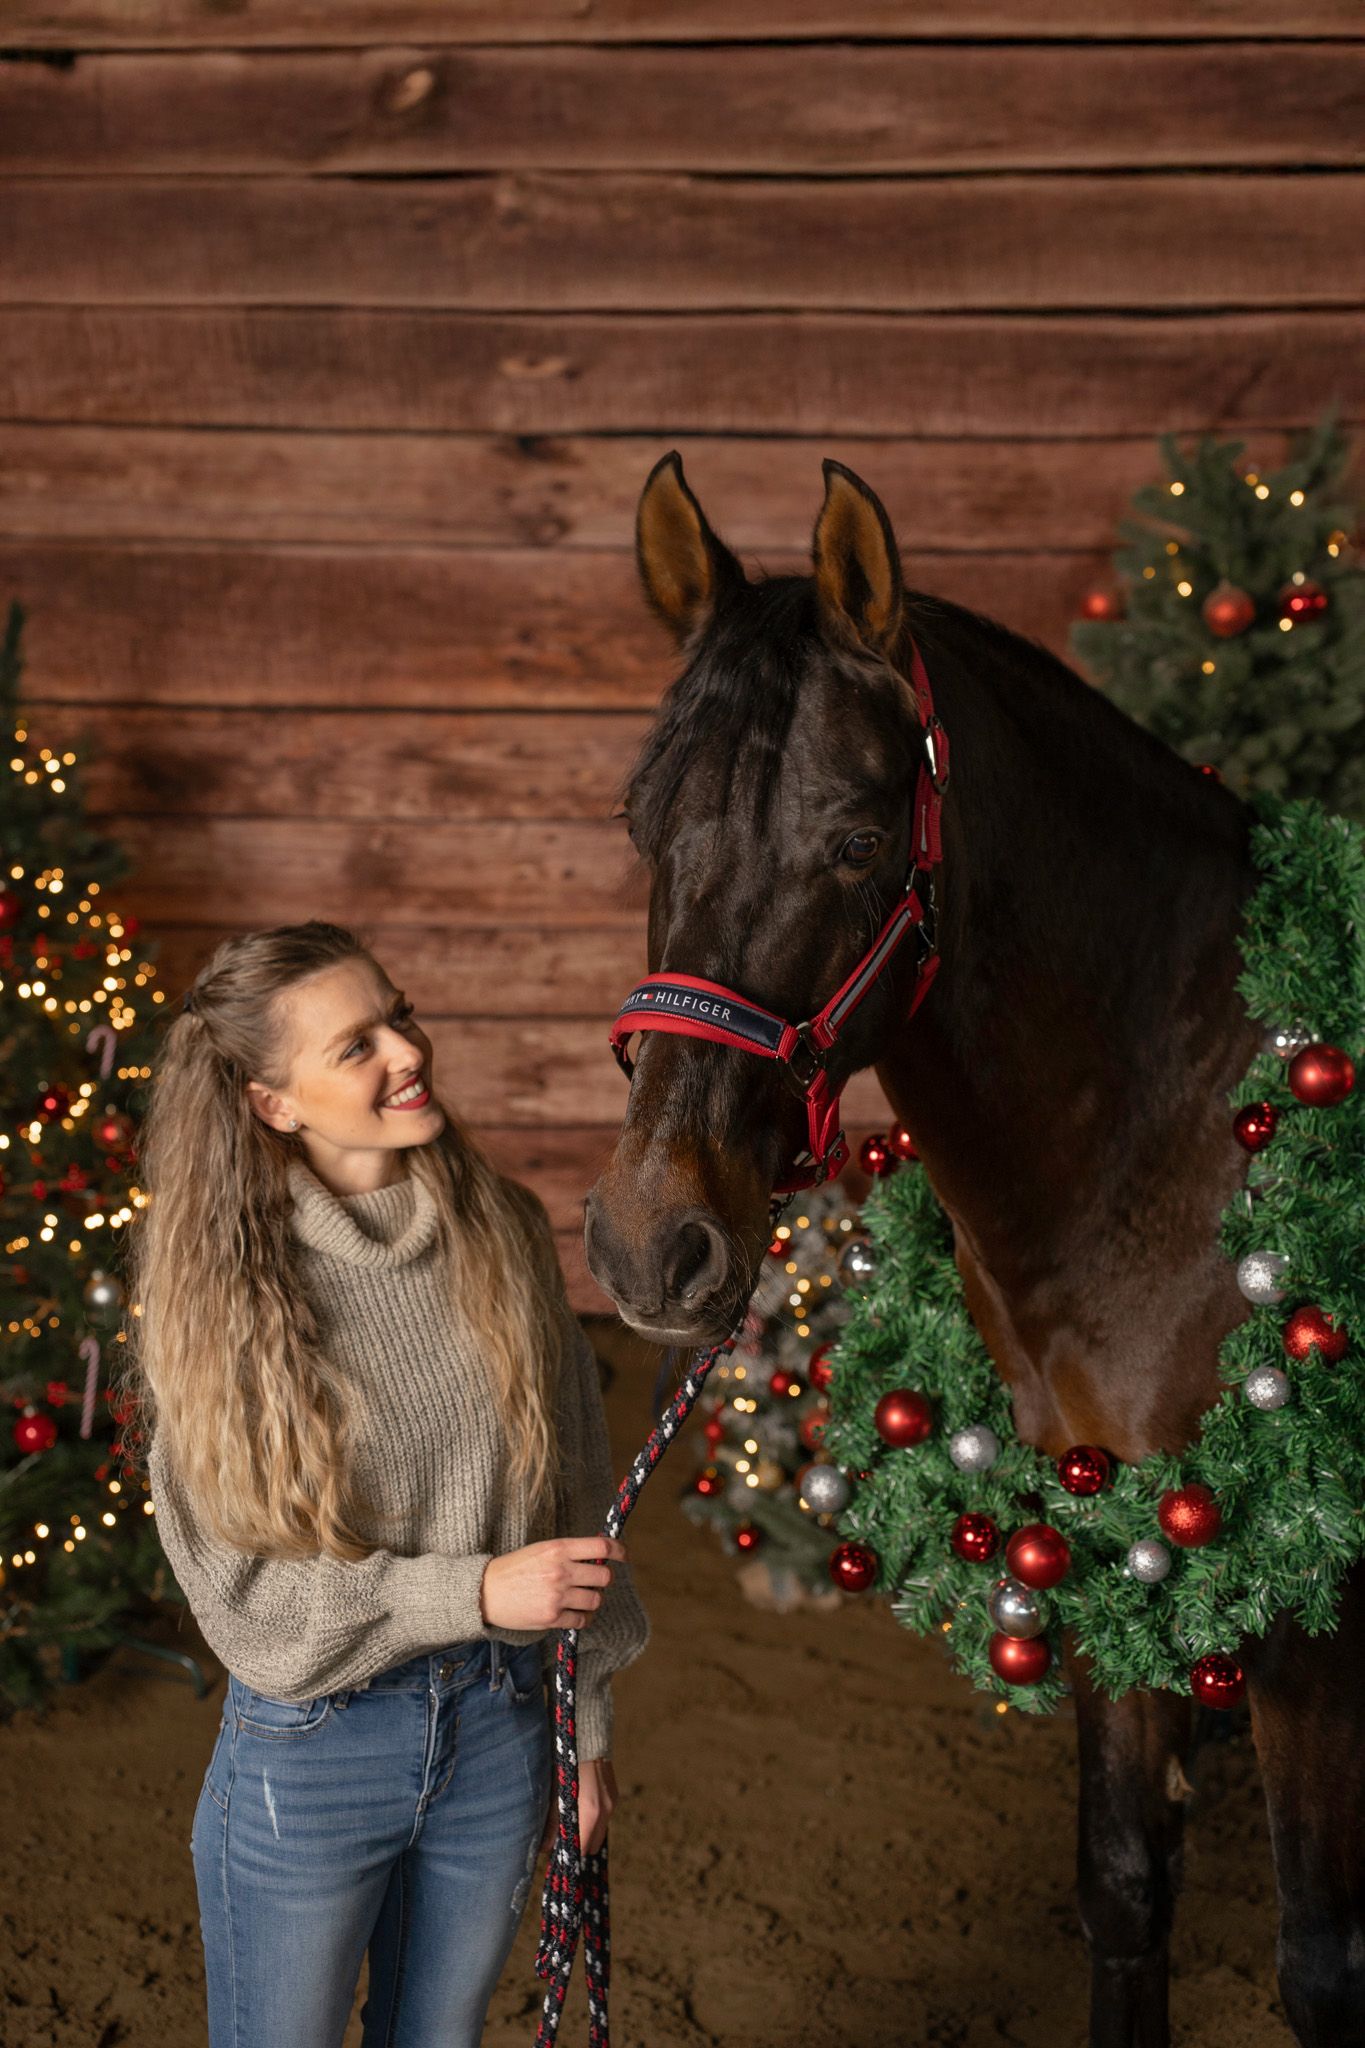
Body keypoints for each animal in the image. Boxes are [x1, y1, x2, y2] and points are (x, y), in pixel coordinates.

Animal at [581, 452, 1365, 2048]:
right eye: (640, 822)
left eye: (858, 841)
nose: (648, 1241)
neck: (1188, 1124)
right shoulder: (1117, 1531)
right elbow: (1124, 1884)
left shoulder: (1311, 1613)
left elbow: (1321, 1962)